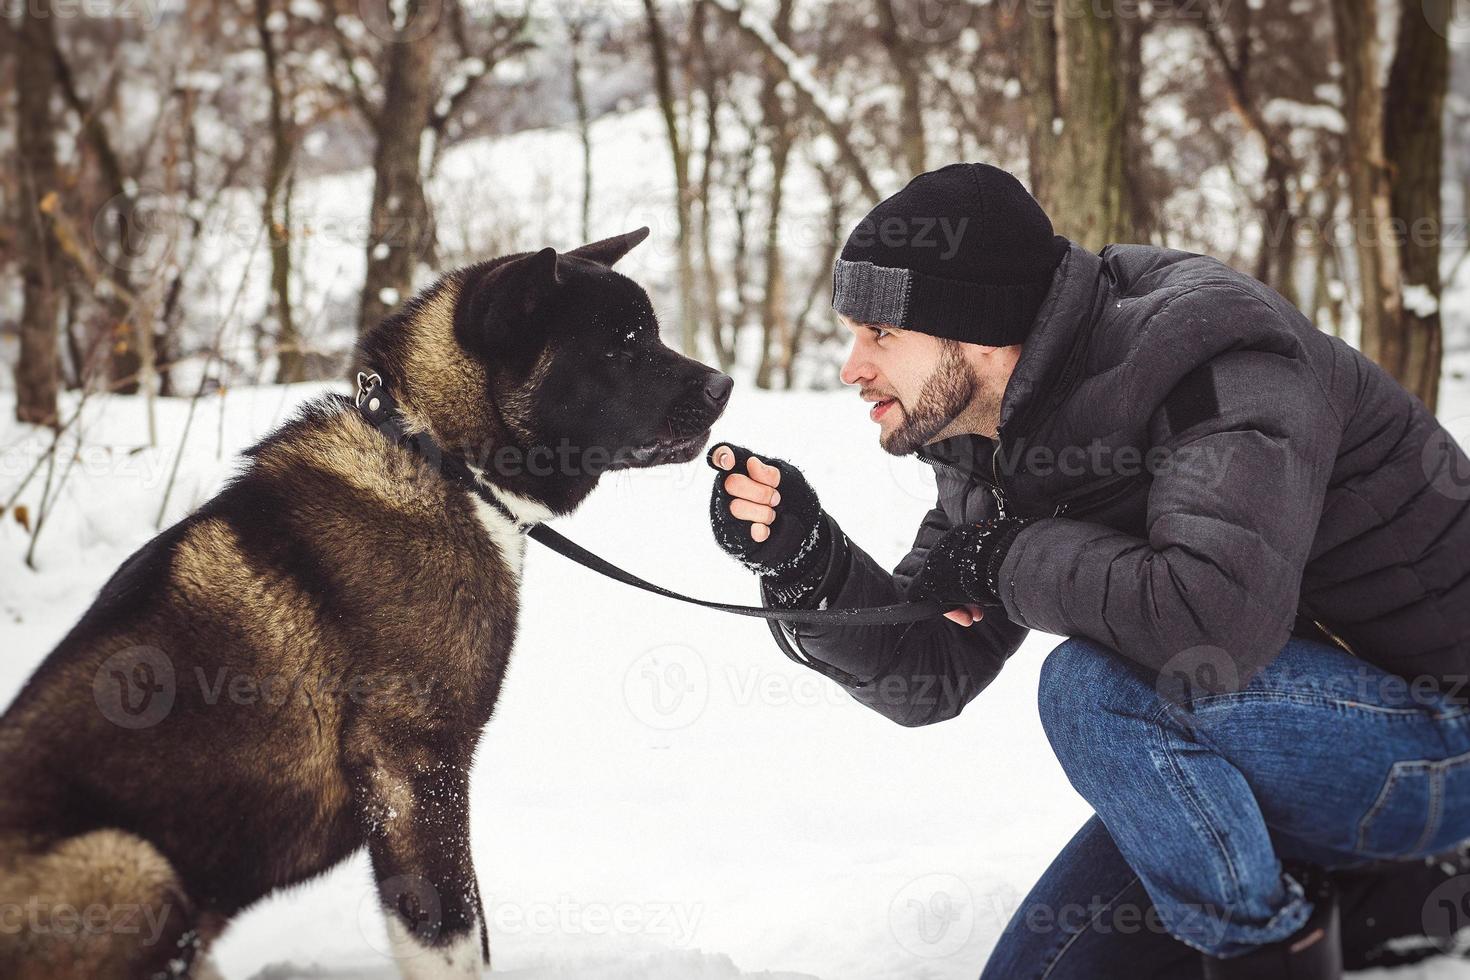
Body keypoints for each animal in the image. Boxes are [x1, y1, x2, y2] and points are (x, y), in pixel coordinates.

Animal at [0, 226, 732, 975]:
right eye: (621, 345)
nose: (723, 383)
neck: (439, 459)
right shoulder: (413, 769)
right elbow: (450, 935)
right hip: (132, 861)